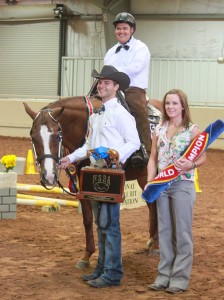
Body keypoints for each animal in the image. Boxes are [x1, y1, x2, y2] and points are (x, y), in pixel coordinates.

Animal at [24, 95, 161, 268]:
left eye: (57, 136)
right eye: (34, 138)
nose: (48, 176)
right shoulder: (82, 185)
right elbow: (89, 220)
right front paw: (86, 256)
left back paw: (155, 245)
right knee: (151, 205)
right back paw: (150, 241)